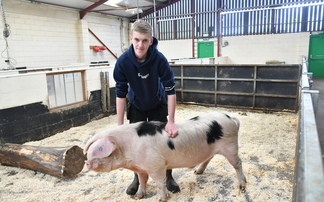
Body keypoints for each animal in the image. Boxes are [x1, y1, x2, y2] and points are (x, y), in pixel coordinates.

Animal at [83, 111, 246, 201]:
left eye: (100, 150)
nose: (86, 163)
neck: (127, 149)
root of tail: (230, 117)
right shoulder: (141, 167)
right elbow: (142, 181)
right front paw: (138, 196)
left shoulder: (156, 165)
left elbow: (160, 183)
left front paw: (162, 199)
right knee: (209, 158)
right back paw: (197, 172)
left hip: (230, 146)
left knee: (238, 164)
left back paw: (242, 186)